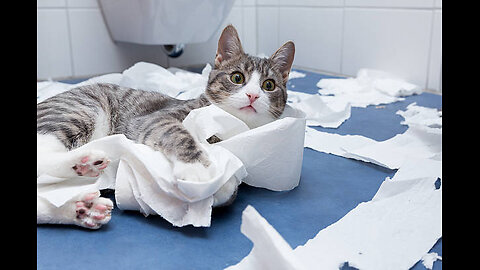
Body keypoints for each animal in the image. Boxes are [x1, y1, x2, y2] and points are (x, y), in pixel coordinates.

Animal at [35, 24, 294, 230]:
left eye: (269, 85)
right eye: (237, 78)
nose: (253, 95)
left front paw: (224, 187)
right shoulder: (153, 119)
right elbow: (178, 134)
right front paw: (198, 169)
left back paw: (82, 207)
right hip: (81, 109)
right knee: (43, 155)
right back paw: (84, 161)